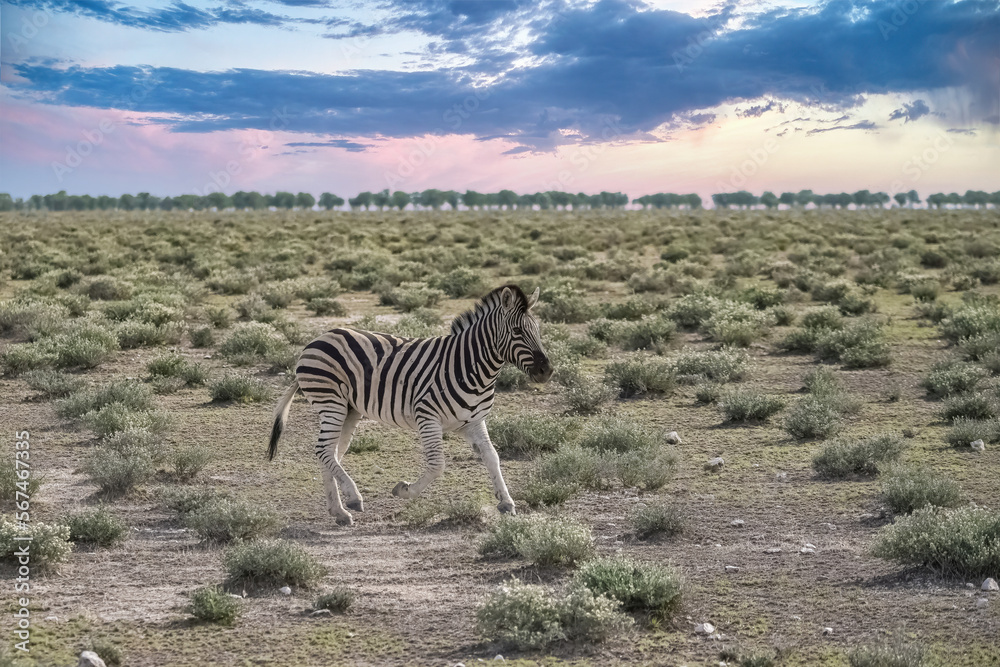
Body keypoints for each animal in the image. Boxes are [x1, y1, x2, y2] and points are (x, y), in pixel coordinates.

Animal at [267, 284, 553, 526]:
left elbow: (492, 457)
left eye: (538, 331)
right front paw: (404, 490)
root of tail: (319, 338)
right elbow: (437, 466)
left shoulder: (473, 421)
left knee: (329, 453)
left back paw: (339, 511)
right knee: (323, 450)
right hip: (331, 402)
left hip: (349, 409)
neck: (469, 366)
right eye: (517, 332)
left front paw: (506, 502)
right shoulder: (427, 417)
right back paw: (354, 497)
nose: (547, 371)